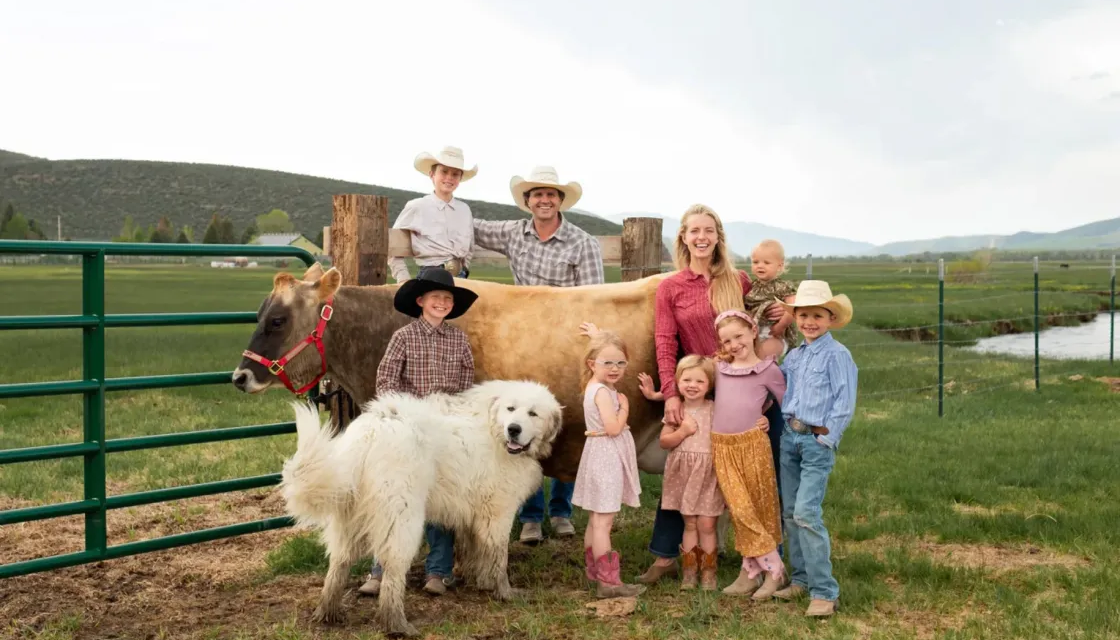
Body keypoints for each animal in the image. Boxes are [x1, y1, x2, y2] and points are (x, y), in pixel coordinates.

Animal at [276, 381, 564, 636]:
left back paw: (328, 612)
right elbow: (498, 556)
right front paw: (504, 592)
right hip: (402, 518)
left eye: (533, 413)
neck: (495, 428)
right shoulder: (498, 512)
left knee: (339, 564)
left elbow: (479, 552)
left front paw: (483, 583)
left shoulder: (476, 514)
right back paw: (396, 624)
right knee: (392, 573)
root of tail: (372, 429)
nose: (514, 429)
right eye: (511, 409)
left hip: (349, 518)